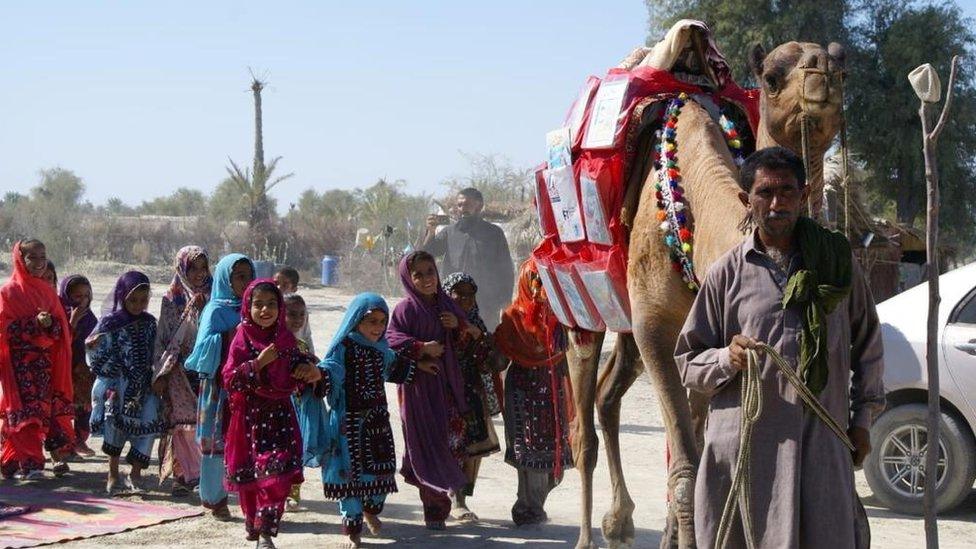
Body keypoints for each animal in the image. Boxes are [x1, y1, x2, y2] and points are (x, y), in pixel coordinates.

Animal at [564, 33, 848, 544]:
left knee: (608, 395)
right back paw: (587, 536)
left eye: (843, 67)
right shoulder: (655, 326)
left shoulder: (695, 332)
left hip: (627, 326)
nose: (822, 70)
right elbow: (685, 469)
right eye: (771, 77)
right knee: (583, 426)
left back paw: (620, 524)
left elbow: (693, 452)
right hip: (584, 304)